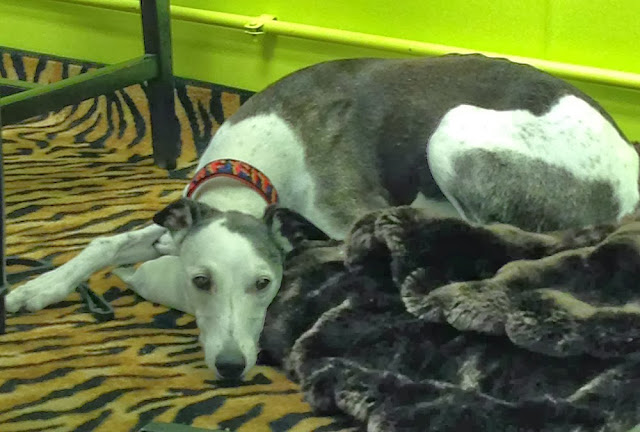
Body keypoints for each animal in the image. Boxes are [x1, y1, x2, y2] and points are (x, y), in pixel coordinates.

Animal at [6, 54, 639, 380]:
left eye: (264, 285)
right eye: (200, 281)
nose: (232, 368)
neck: (251, 170)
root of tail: (629, 168)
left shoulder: (349, 217)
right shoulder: (180, 224)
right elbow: (108, 241)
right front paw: (38, 289)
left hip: (454, 132)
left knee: (504, 238)